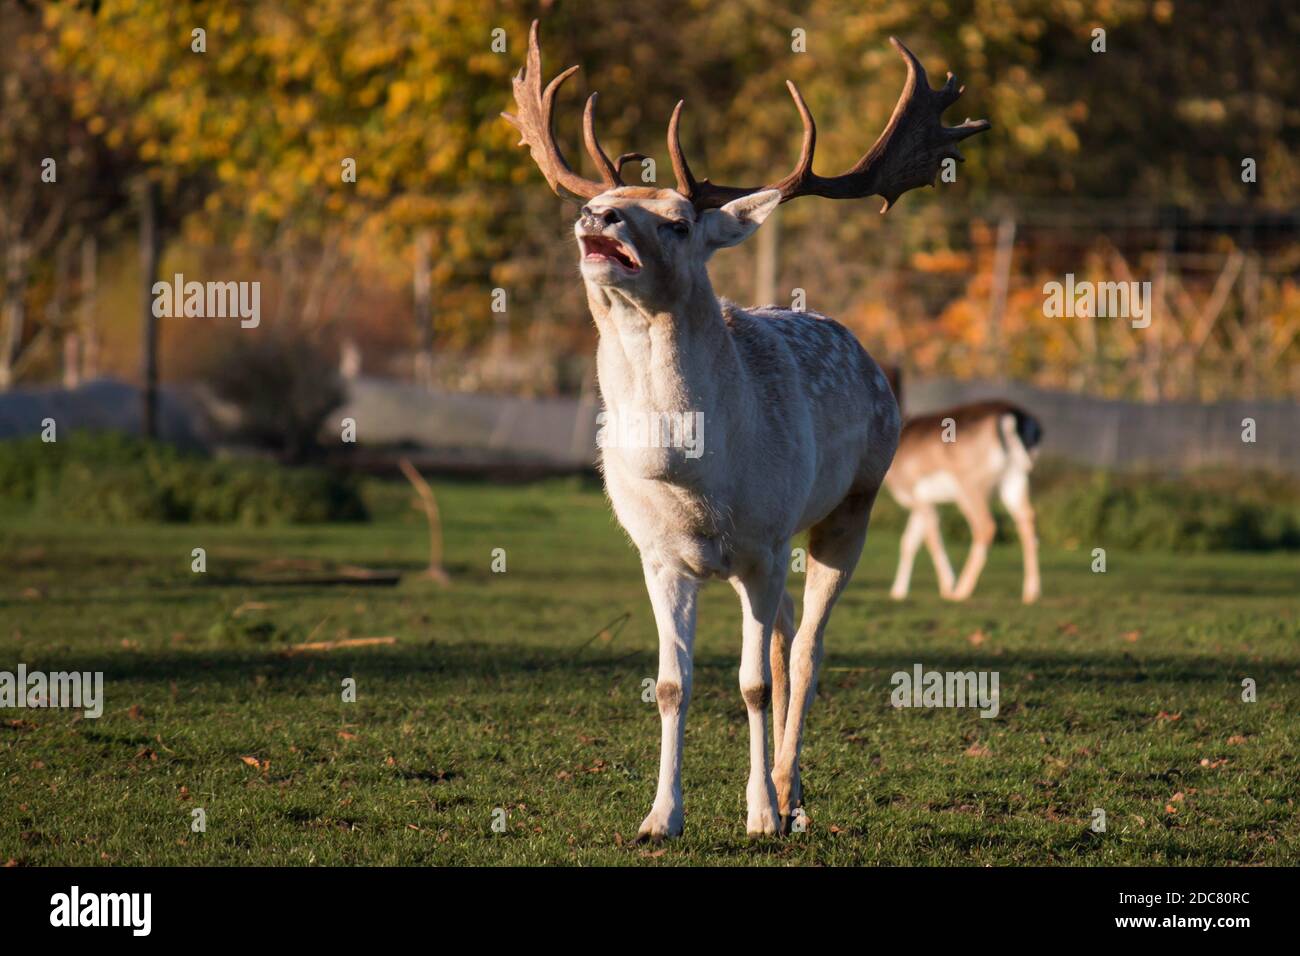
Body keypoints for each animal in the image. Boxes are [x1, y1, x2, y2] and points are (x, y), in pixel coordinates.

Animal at [501, 20, 987, 837]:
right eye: (609, 197)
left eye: (678, 220)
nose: (595, 216)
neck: (691, 475)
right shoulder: (659, 555)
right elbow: (672, 684)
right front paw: (659, 818)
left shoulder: (762, 544)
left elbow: (754, 683)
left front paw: (760, 813)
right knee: (789, 635)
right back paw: (791, 793)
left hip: (849, 509)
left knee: (808, 649)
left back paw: (789, 794)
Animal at [878, 369, 1040, 600]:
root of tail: (1011, 418)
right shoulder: (924, 501)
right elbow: (908, 541)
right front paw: (898, 592)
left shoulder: (918, 494)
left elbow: (931, 540)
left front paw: (947, 587)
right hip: (1015, 479)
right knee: (1027, 519)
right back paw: (1031, 593)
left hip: (970, 486)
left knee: (986, 526)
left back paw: (961, 591)